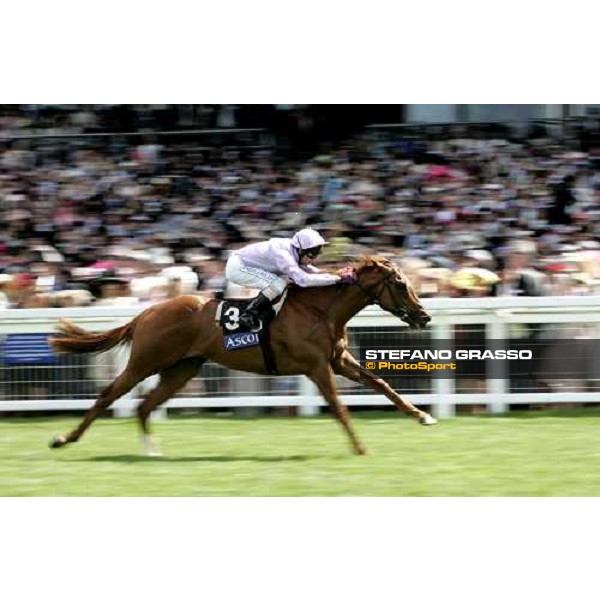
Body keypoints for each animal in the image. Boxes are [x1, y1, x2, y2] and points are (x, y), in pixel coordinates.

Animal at [48, 255, 436, 458]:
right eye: (400, 284)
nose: (424, 317)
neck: (319, 310)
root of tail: (146, 312)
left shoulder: (338, 361)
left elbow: (383, 384)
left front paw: (423, 416)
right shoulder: (315, 366)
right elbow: (339, 408)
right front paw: (360, 448)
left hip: (182, 369)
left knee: (145, 405)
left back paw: (152, 450)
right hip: (146, 361)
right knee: (107, 395)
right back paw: (63, 439)